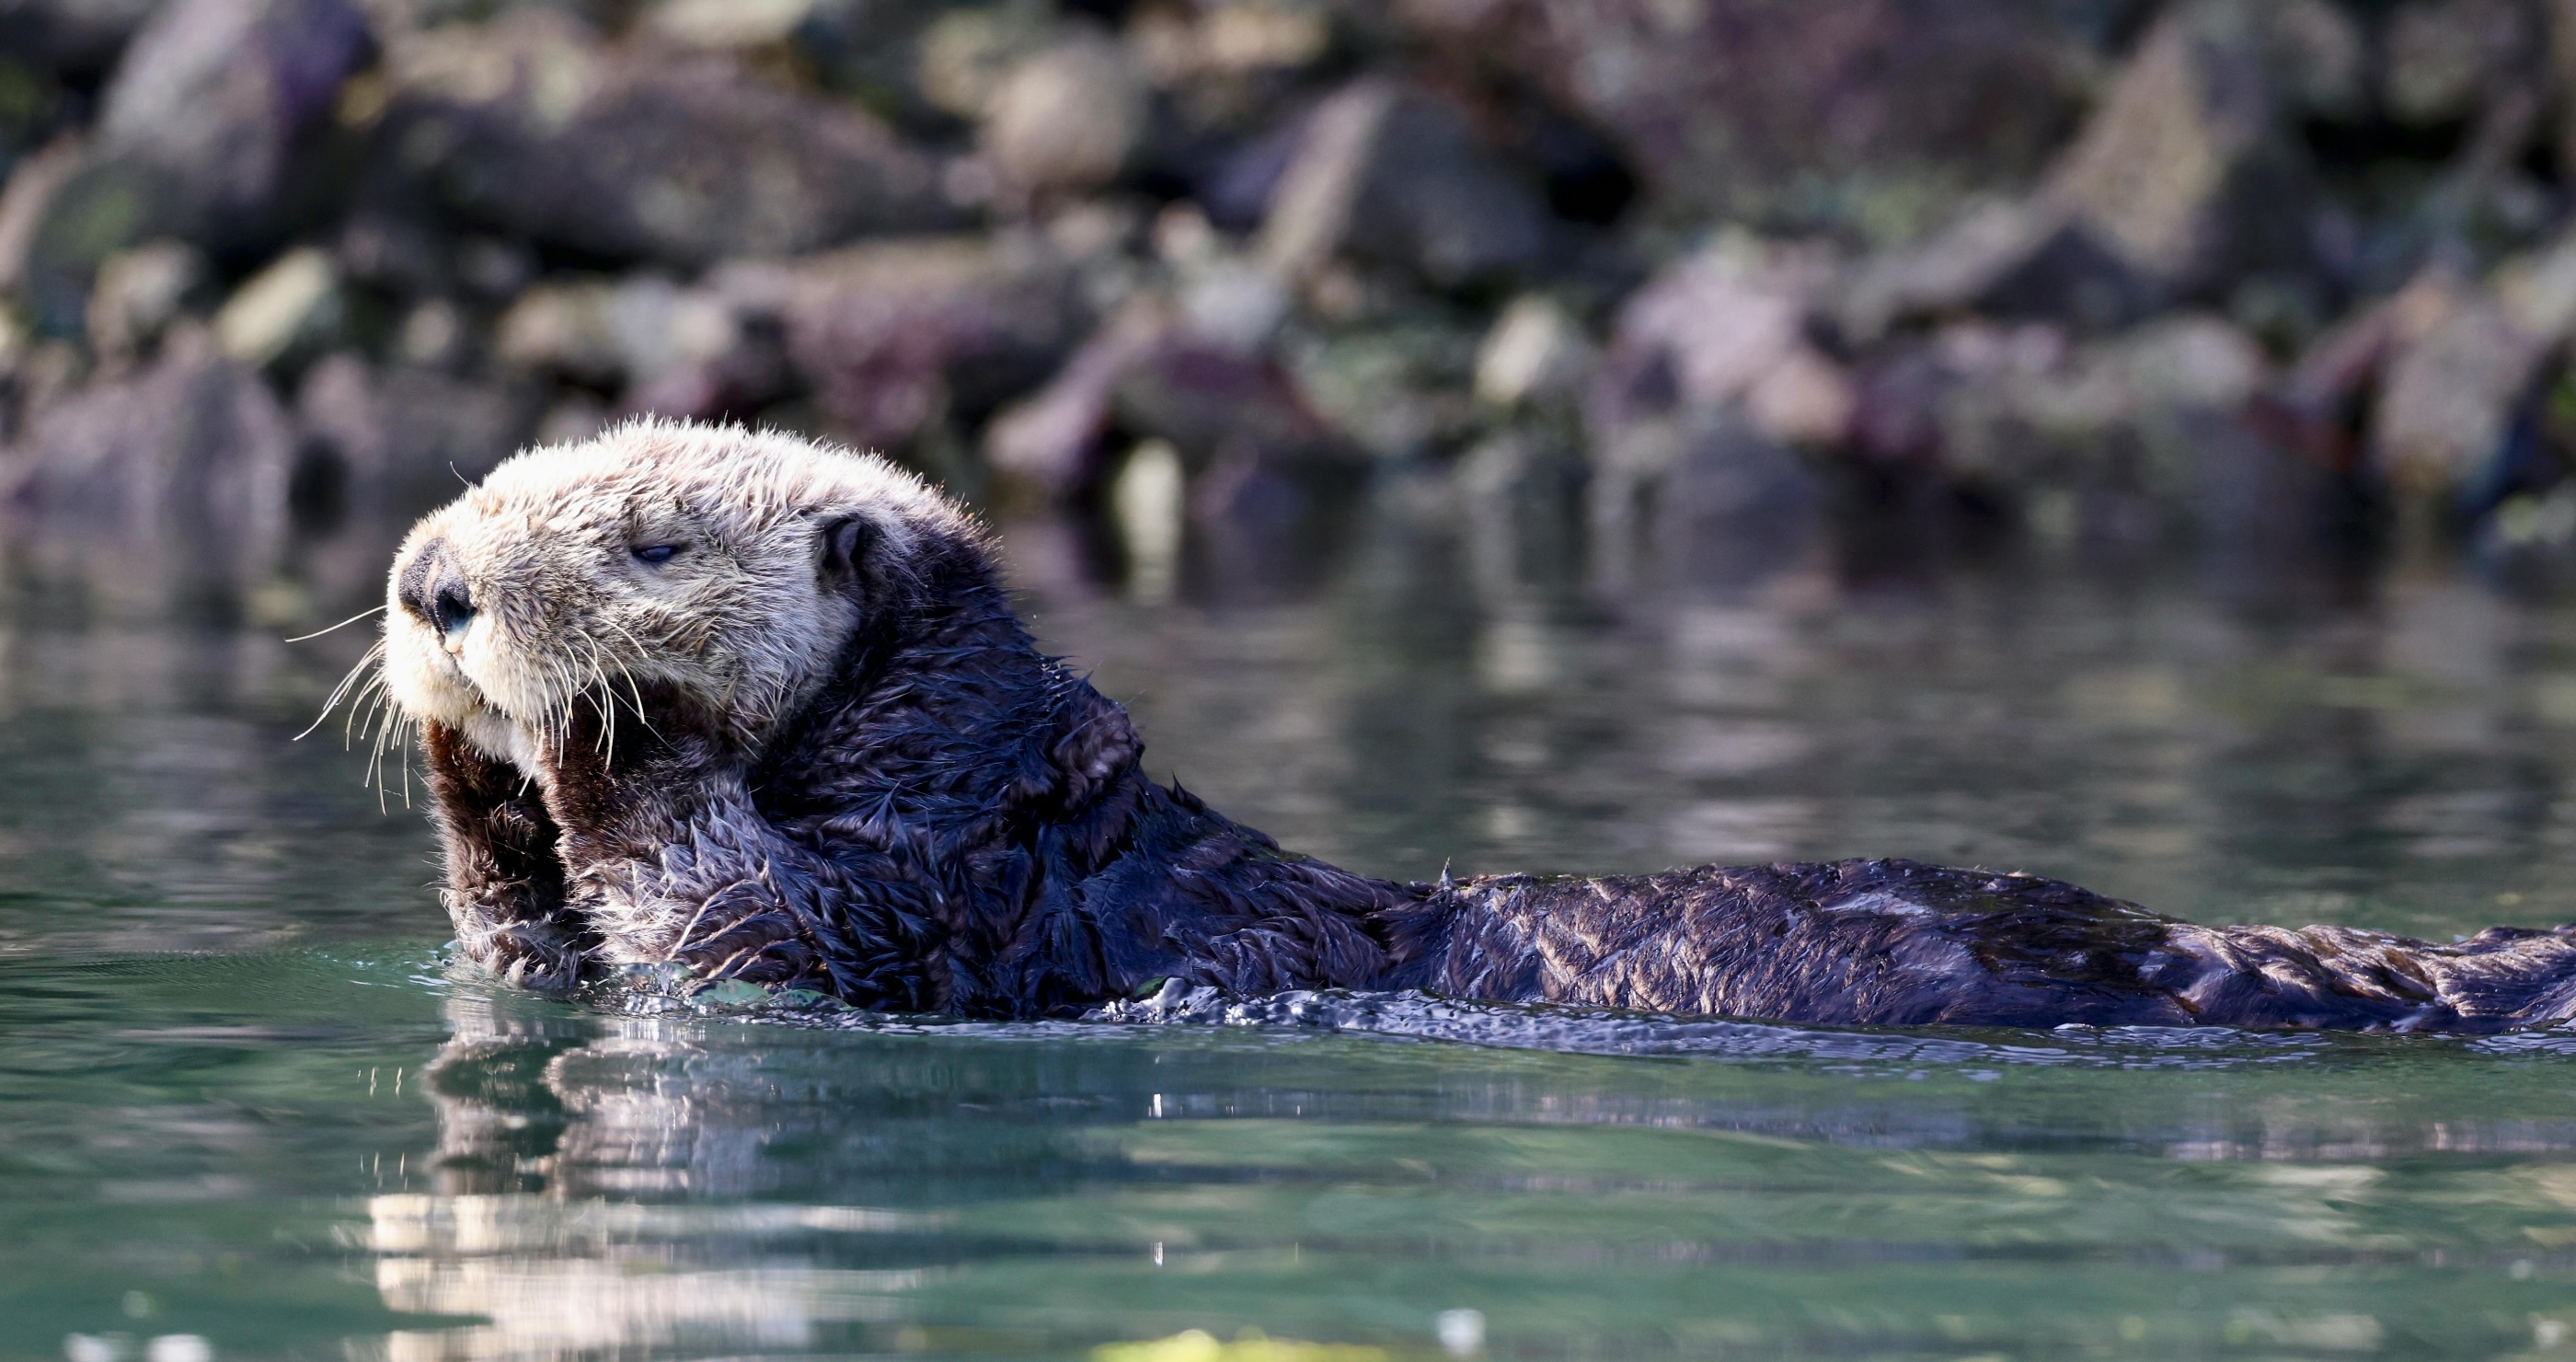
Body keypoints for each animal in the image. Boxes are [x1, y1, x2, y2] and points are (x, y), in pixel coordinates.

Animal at [368, 420, 2576, 1034]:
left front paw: (598, 733)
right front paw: (472, 772)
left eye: (651, 534)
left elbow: (730, 908)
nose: (431, 582)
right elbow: (540, 934)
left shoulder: (951, 901)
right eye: (486, 479)